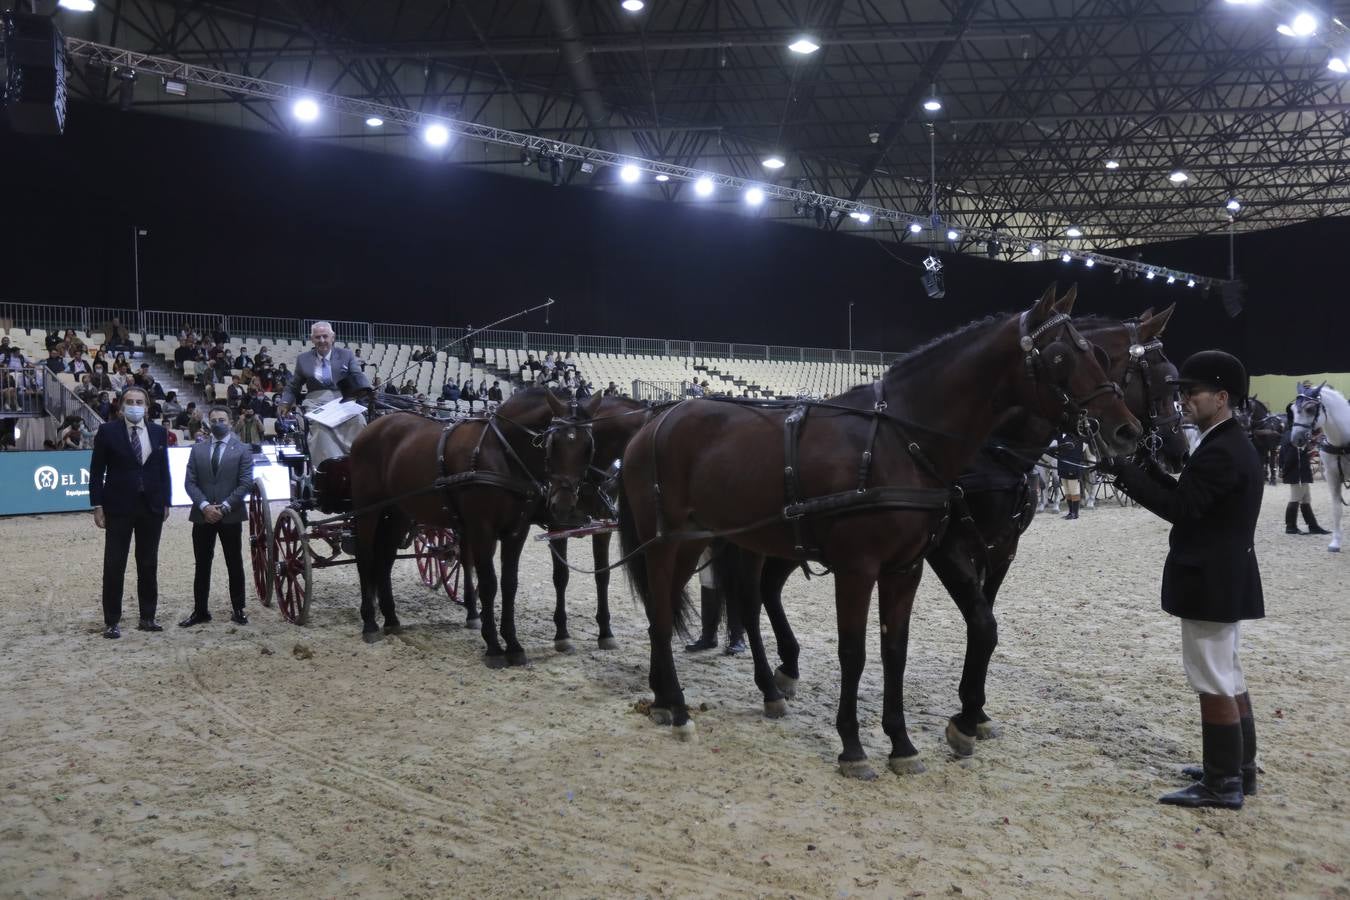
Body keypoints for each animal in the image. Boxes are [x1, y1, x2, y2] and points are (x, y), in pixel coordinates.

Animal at [348, 388, 602, 661]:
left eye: (589, 448)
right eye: (553, 443)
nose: (564, 505)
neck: (502, 454)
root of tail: (373, 426)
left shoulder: (517, 531)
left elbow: (509, 583)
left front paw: (513, 645)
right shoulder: (482, 529)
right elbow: (489, 583)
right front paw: (493, 646)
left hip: (399, 512)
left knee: (385, 559)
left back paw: (391, 619)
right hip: (368, 509)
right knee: (365, 558)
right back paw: (370, 623)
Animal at [618, 284, 1139, 777]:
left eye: (1098, 355)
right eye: (1061, 356)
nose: (1126, 431)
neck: (899, 440)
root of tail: (652, 421)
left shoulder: (905, 568)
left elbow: (895, 650)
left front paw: (902, 745)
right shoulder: (858, 568)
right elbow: (855, 651)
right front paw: (853, 746)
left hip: (703, 540)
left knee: (695, 605)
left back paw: (676, 696)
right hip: (669, 543)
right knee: (666, 612)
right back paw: (680, 709)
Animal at [718, 304, 1193, 761]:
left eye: (1099, 359)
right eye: (1161, 378)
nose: (1173, 451)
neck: (991, 452)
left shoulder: (1000, 550)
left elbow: (983, 624)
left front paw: (975, 711)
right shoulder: (947, 549)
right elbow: (982, 624)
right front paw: (964, 721)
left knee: (769, 589)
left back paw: (788, 667)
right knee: (750, 598)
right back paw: (769, 684)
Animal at [1285, 383, 1350, 553]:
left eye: (1310, 409)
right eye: (1292, 409)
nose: (1296, 439)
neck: (1342, 444)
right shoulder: (1332, 476)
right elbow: (1336, 509)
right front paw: (1335, 542)